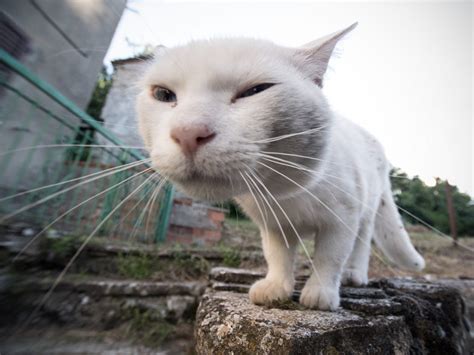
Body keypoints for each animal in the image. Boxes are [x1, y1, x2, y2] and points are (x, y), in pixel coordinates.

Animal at [135, 23, 424, 312]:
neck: (286, 192)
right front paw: (276, 288)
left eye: (255, 91)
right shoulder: (272, 224)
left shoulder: (343, 218)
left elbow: (330, 257)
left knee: (362, 243)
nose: (188, 133)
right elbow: (278, 255)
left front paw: (320, 293)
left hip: (367, 208)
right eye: (163, 94)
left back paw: (355, 273)